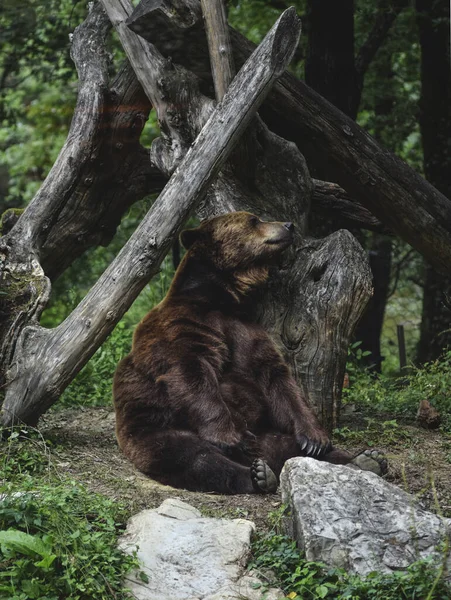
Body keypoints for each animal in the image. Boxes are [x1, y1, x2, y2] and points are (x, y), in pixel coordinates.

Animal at [113, 213, 384, 494]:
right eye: (254, 220)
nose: (288, 225)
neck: (223, 300)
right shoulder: (182, 327)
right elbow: (191, 373)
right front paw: (230, 437)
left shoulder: (249, 332)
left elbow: (278, 380)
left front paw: (315, 438)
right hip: (155, 429)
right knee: (193, 457)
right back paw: (258, 474)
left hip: (268, 434)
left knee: (292, 448)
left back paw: (366, 460)